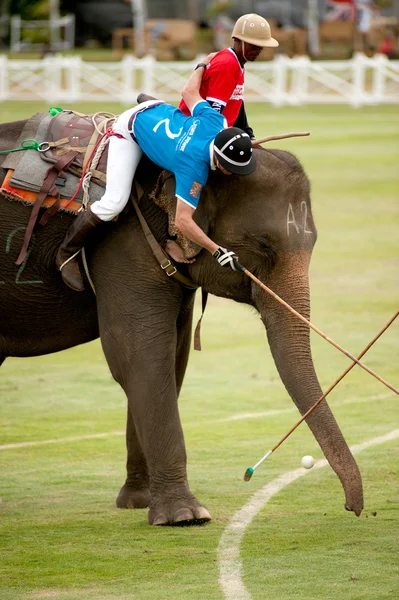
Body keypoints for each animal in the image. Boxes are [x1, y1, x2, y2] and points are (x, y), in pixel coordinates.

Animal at [0, 116, 366, 524]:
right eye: (264, 245)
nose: (353, 509)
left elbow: (173, 357)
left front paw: (139, 501)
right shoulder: (125, 242)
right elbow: (138, 354)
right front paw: (185, 516)